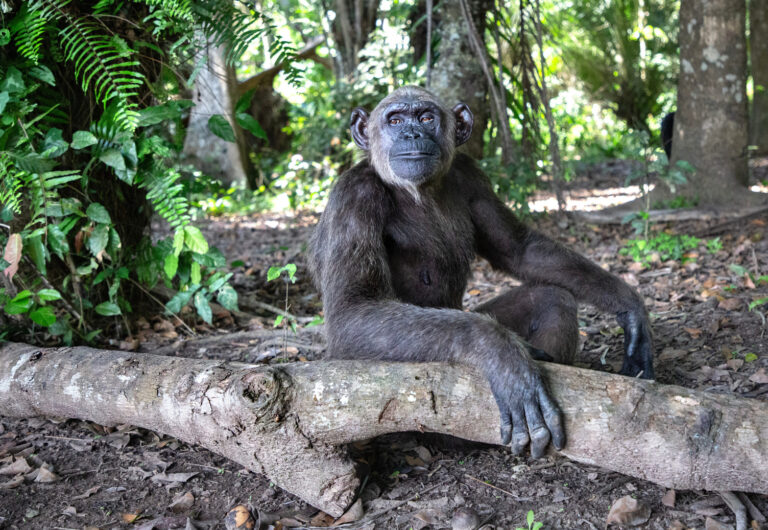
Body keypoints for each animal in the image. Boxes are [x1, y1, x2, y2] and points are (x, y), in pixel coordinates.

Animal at [308, 86, 653, 458]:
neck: (417, 192)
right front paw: (503, 357)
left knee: (552, 298)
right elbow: (353, 310)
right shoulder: (354, 197)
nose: (411, 134)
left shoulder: (473, 177)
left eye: (426, 117)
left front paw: (630, 306)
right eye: (395, 120)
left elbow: (518, 248)